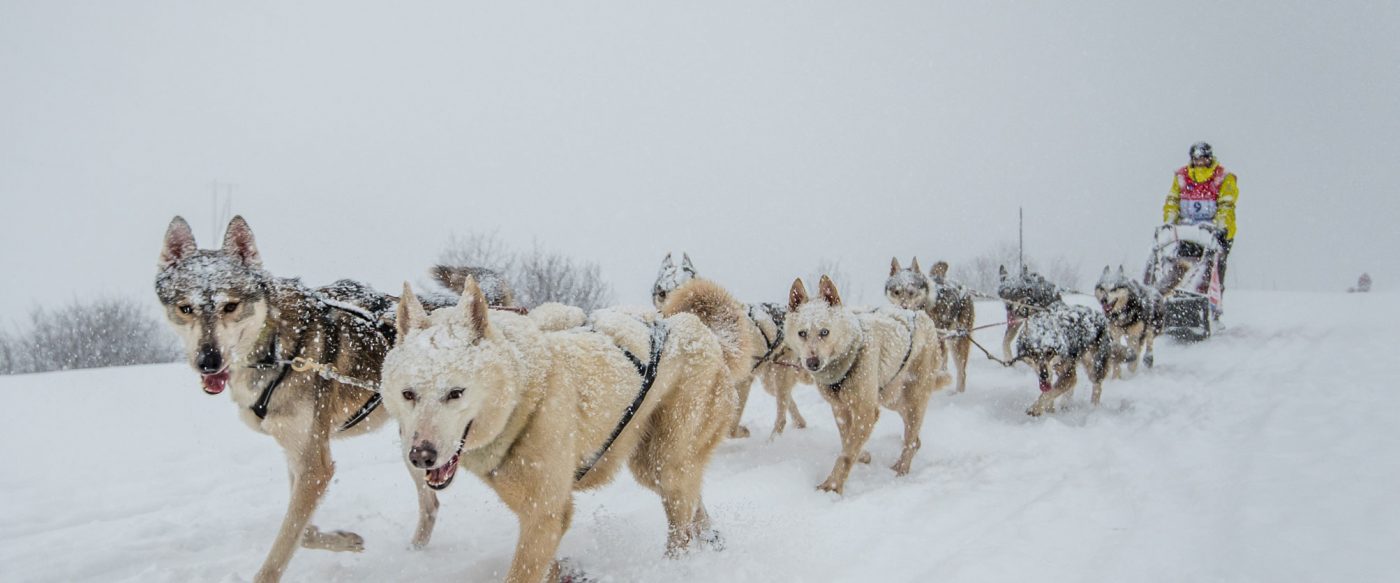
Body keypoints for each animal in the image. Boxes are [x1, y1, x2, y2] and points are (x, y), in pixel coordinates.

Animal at [152, 215, 436, 580]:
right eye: (186, 308)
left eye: (231, 306)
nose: (208, 361)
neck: (276, 347)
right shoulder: (298, 454)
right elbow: (304, 532)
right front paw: (345, 540)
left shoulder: (315, 465)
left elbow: (282, 547)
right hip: (414, 446)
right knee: (432, 504)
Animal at [378, 277, 739, 583]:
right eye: (408, 394)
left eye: (456, 393)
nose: (420, 455)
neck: (524, 399)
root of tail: (705, 333)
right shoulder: (539, 518)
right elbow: (545, 568)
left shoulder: (544, 515)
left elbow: (523, 572)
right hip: (653, 466)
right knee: (694, 503)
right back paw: (712, 539)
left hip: (665, 462)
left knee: (681, 528)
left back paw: (674, 568)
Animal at [784, 276, 946, 493]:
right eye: (802, 333)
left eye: (824, 332)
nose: (812, 362)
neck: (846, 359)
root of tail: (921, 314)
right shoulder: (840, 409)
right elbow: (847, 438)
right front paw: (862, 455)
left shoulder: (866, 411)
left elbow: (846, 454)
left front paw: (832, 486)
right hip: (891, 397)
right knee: (914, 437)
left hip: (914, 399)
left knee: (911, 440)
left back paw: (901, 470)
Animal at [884, 257, 974, 392]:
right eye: (896, 292)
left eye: (911, 292)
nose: (904, 307)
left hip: (957, 340)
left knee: (961, 372)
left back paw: (958, 393)